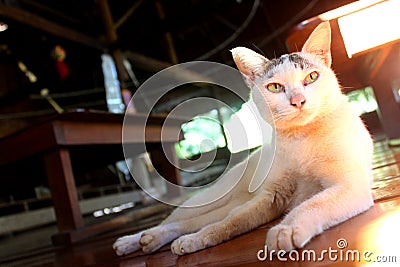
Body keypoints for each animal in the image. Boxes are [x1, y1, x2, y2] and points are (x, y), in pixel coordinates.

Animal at [113, 22, 376, 256]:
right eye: (275, 87)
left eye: (311, 77)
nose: (298, 101)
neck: (300, 138)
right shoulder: (270, 197)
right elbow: (229, 224)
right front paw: (198, 239)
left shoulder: (350, 185)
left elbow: (312, 204)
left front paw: (286, 229)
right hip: (209, 200)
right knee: (185, 220)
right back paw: (135, 239)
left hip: (230, 203)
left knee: (200, 220)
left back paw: (152, 240)